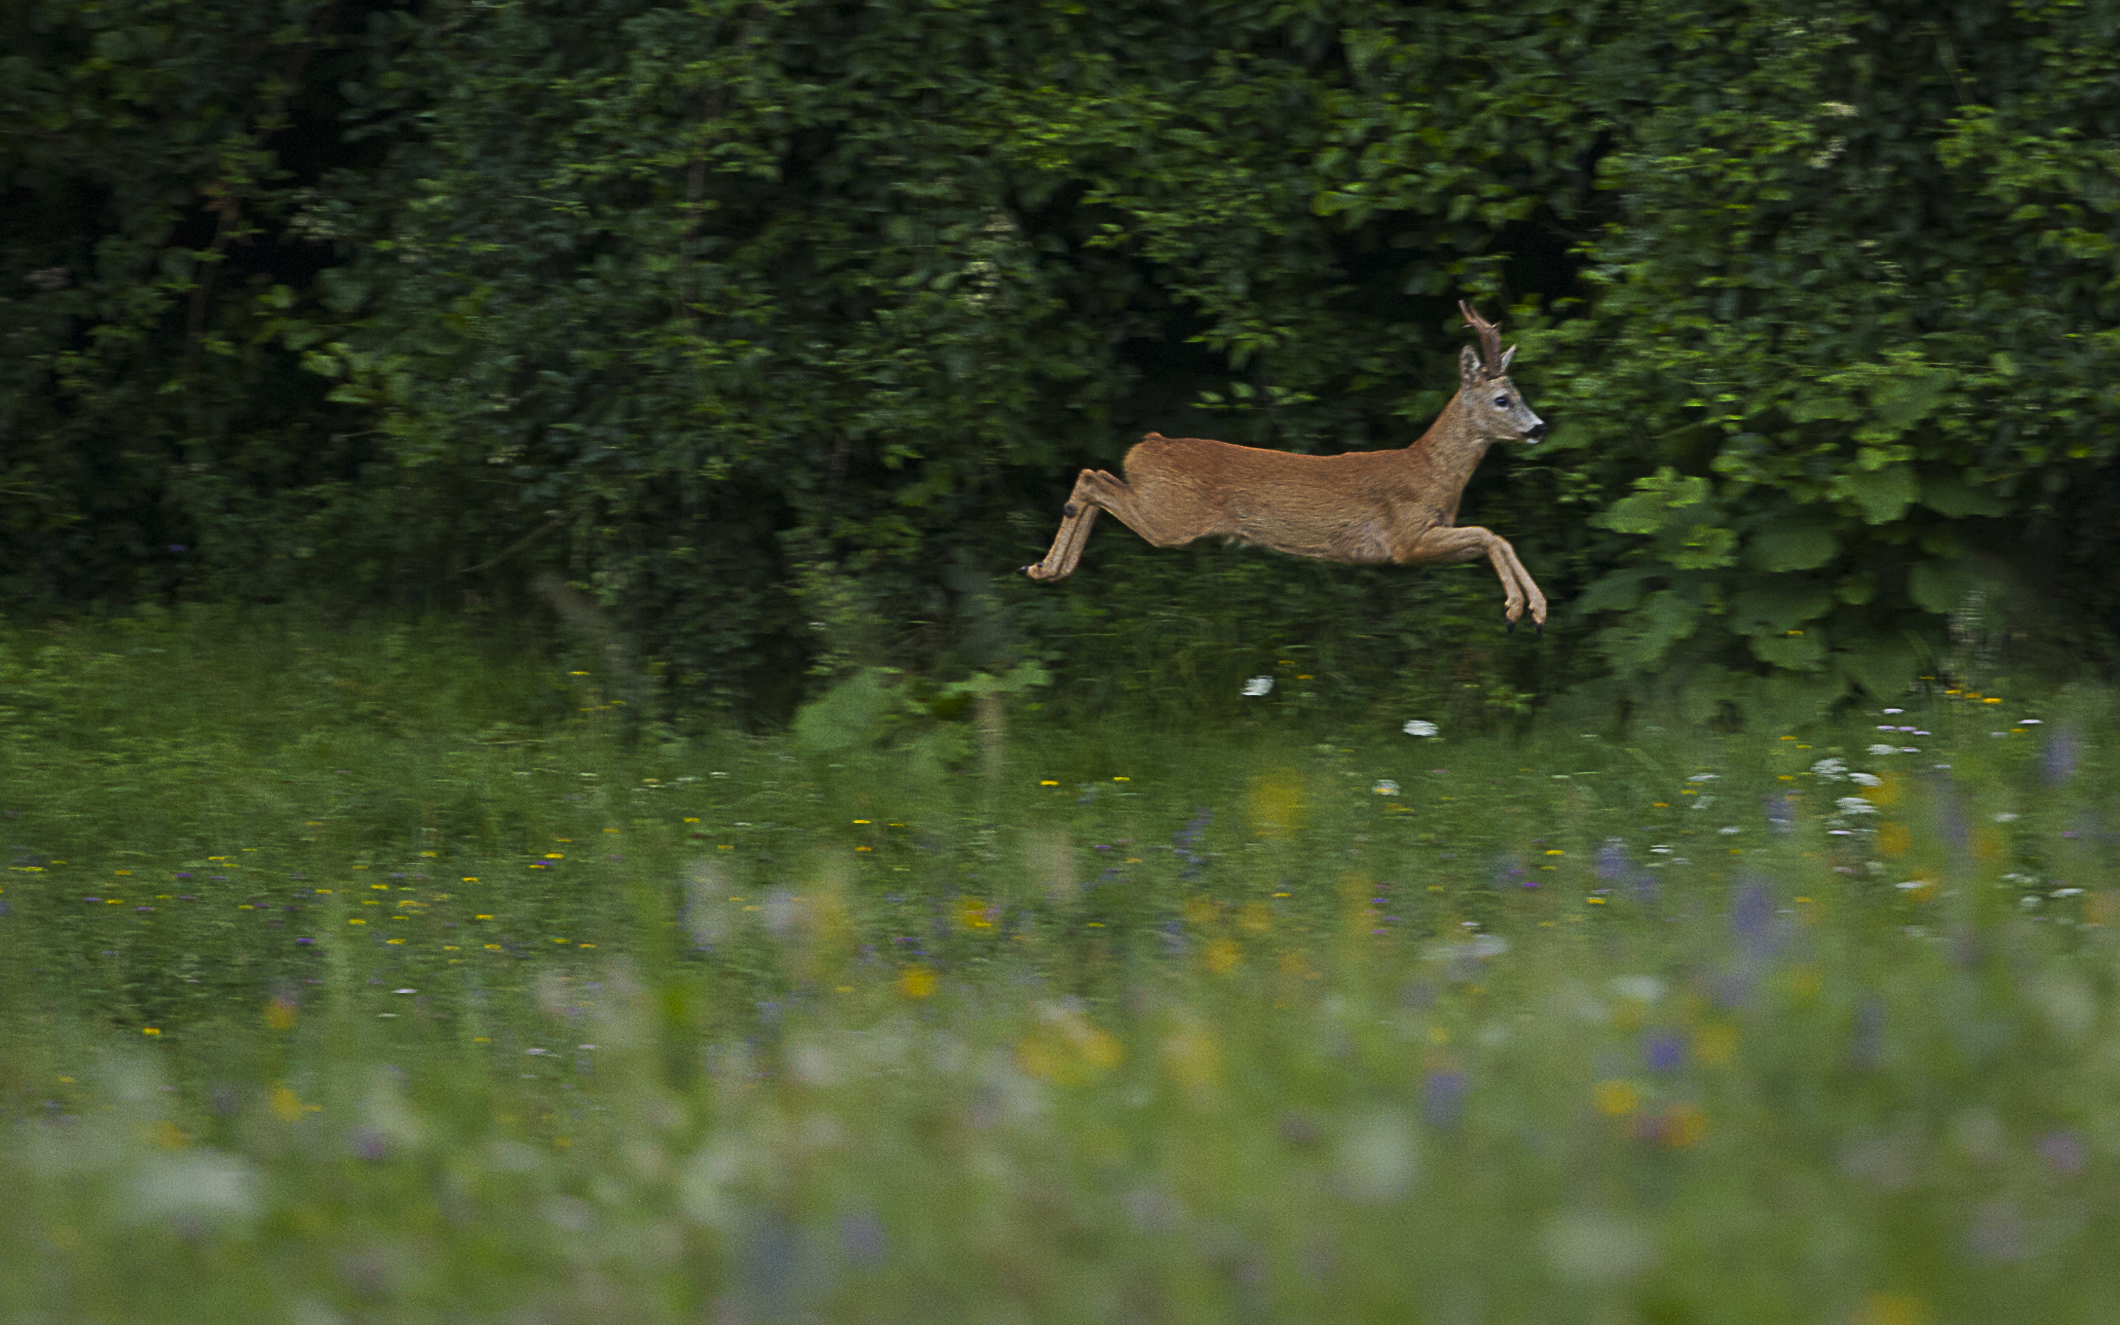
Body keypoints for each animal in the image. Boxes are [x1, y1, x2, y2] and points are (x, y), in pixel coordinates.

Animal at [1023, 301, 1549, 630]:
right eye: (1503, 399)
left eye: (1520, 394)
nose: (1539, 428)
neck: (1431, 472)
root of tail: (1145, 446)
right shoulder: (1405, 540)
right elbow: (1491, 535)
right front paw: (1519, 609)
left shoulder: (1422, 543)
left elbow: (1493, 540)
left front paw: (1532, 612)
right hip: (1170, 519)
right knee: (1093, 479)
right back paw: (1046, 569)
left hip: (1162, 509)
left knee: (1096, 478)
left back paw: (1047, 570)